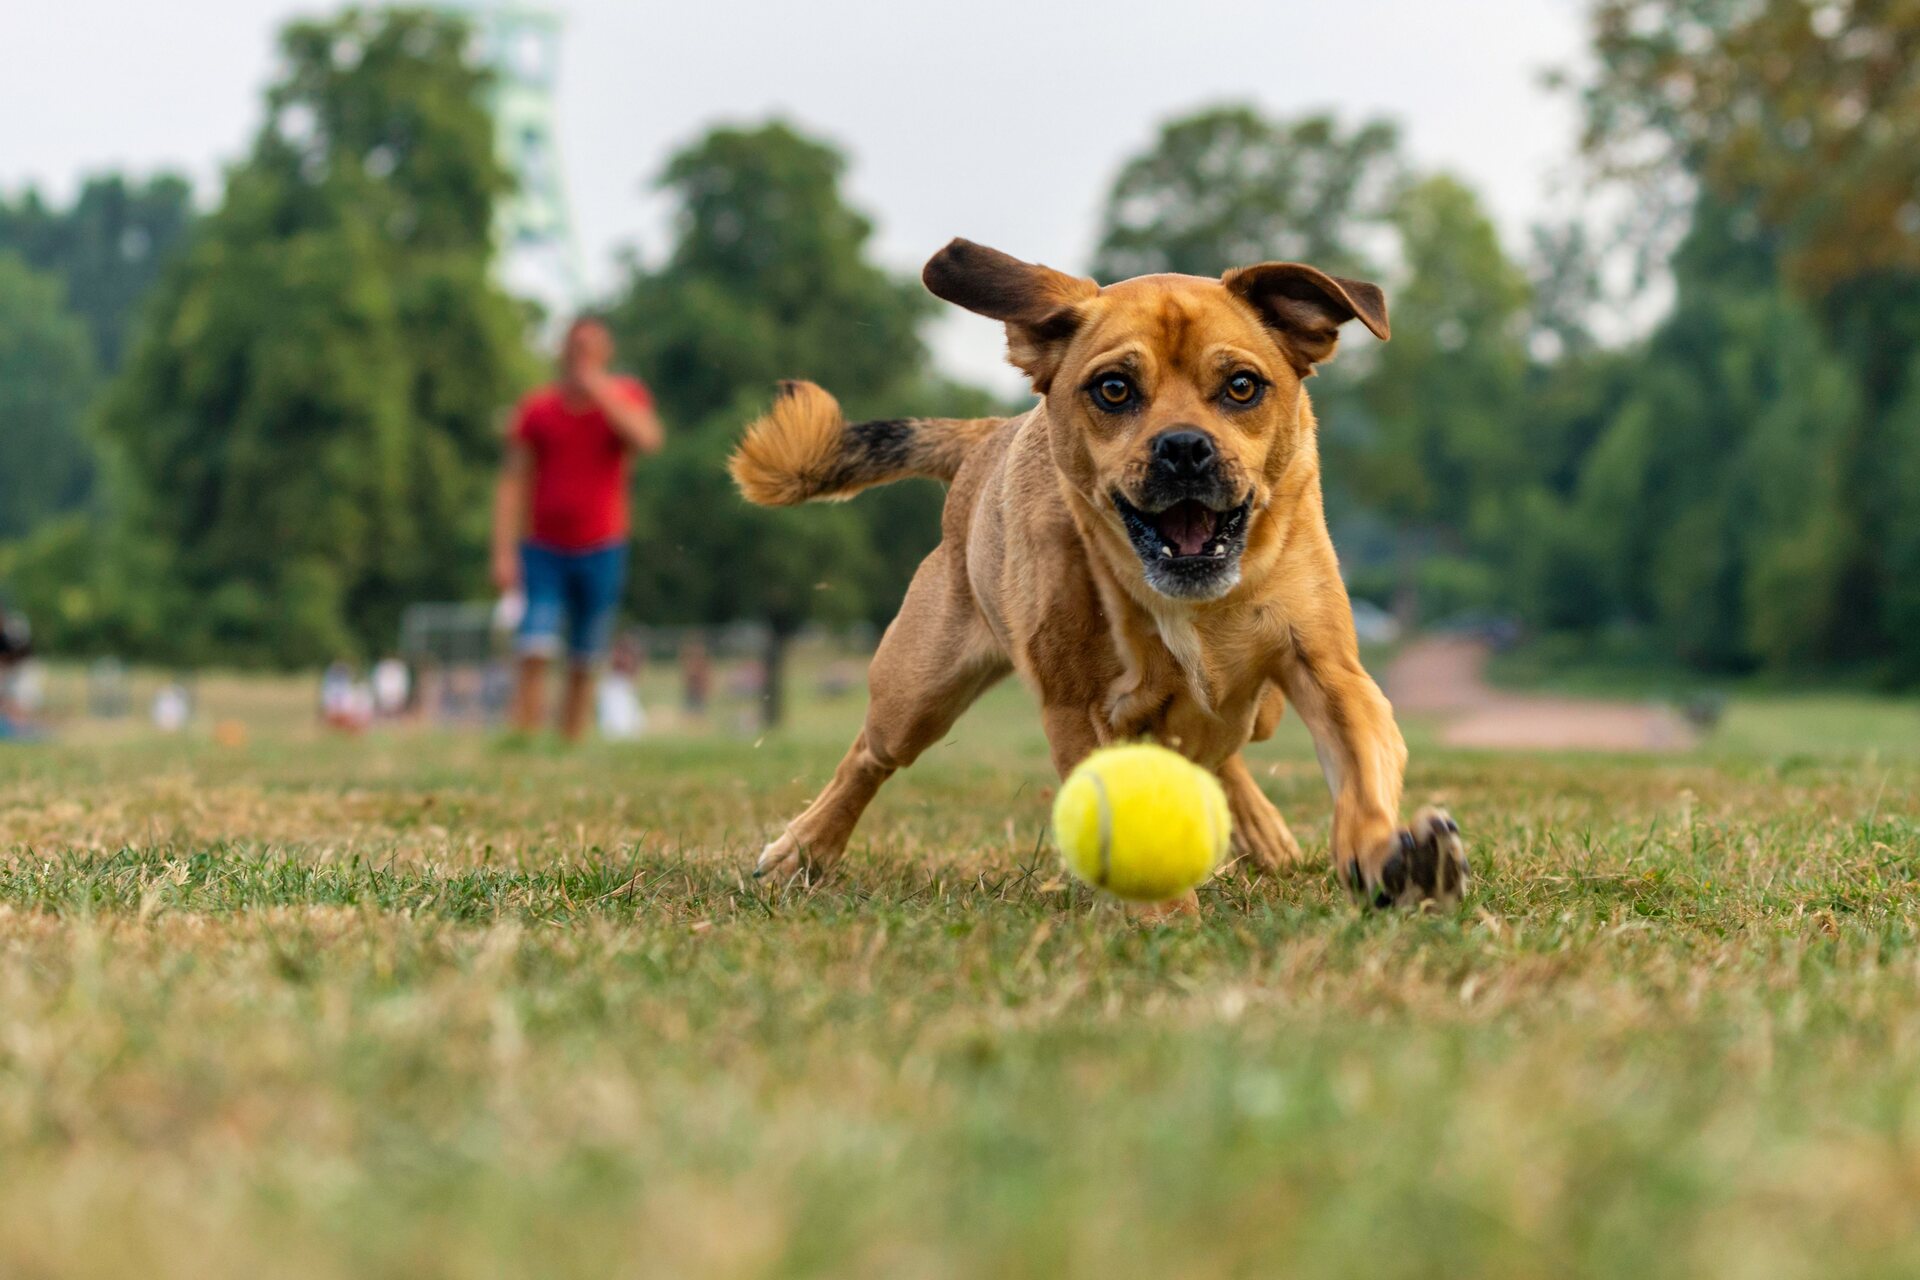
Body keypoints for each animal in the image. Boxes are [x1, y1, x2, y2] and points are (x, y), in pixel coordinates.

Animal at [725, 239, 1459, 909]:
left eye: (1242, 386)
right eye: (1113, 389)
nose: (1184, 447)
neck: (1185, 605)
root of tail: (987, 436)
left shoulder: (1325, 667)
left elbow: (1362, 766)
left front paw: (1390, 855)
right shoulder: (1079, 708)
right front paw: (1165, 918)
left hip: (1262, 710)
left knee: (1226, 748)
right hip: (915, 690)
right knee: (869, 757)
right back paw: (804, 848)